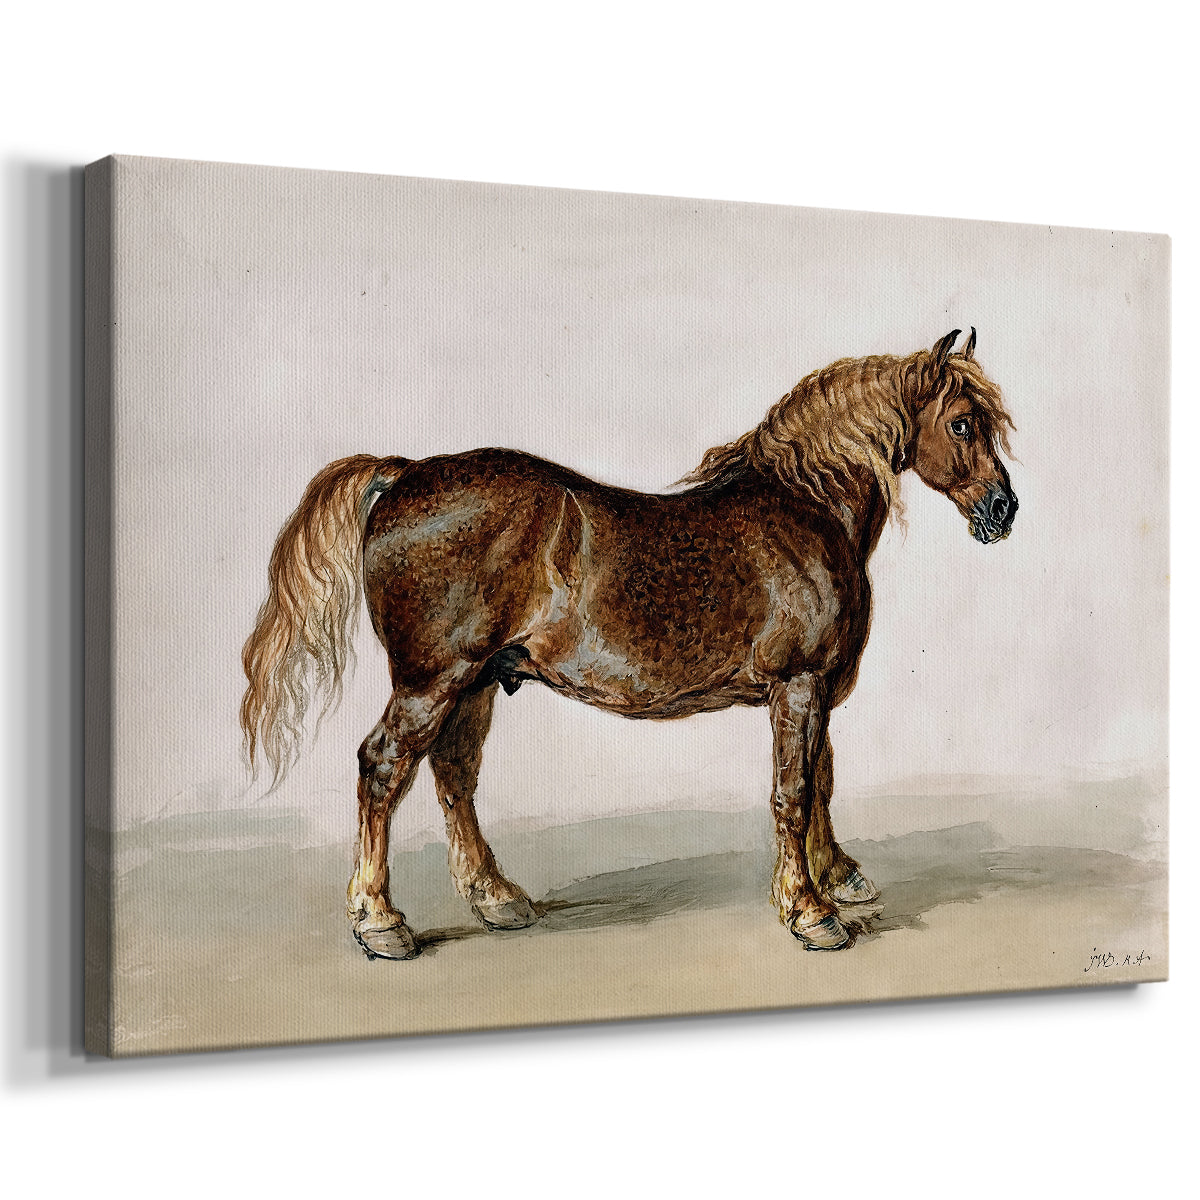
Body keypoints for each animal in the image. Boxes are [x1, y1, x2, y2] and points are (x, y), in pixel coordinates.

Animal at [240, 328, 1017, 958]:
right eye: (963, 422)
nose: (1003, 509)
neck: (803, 509)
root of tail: (404, 473)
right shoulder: (797, 684)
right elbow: (793, 793)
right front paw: (811, 913)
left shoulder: (817, 688)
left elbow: (821, 780)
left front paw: (839, 878)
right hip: (432, 680)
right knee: (384, 769)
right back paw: (380, 922)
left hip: (477, 680)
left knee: (453, 774)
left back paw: (498, 899)